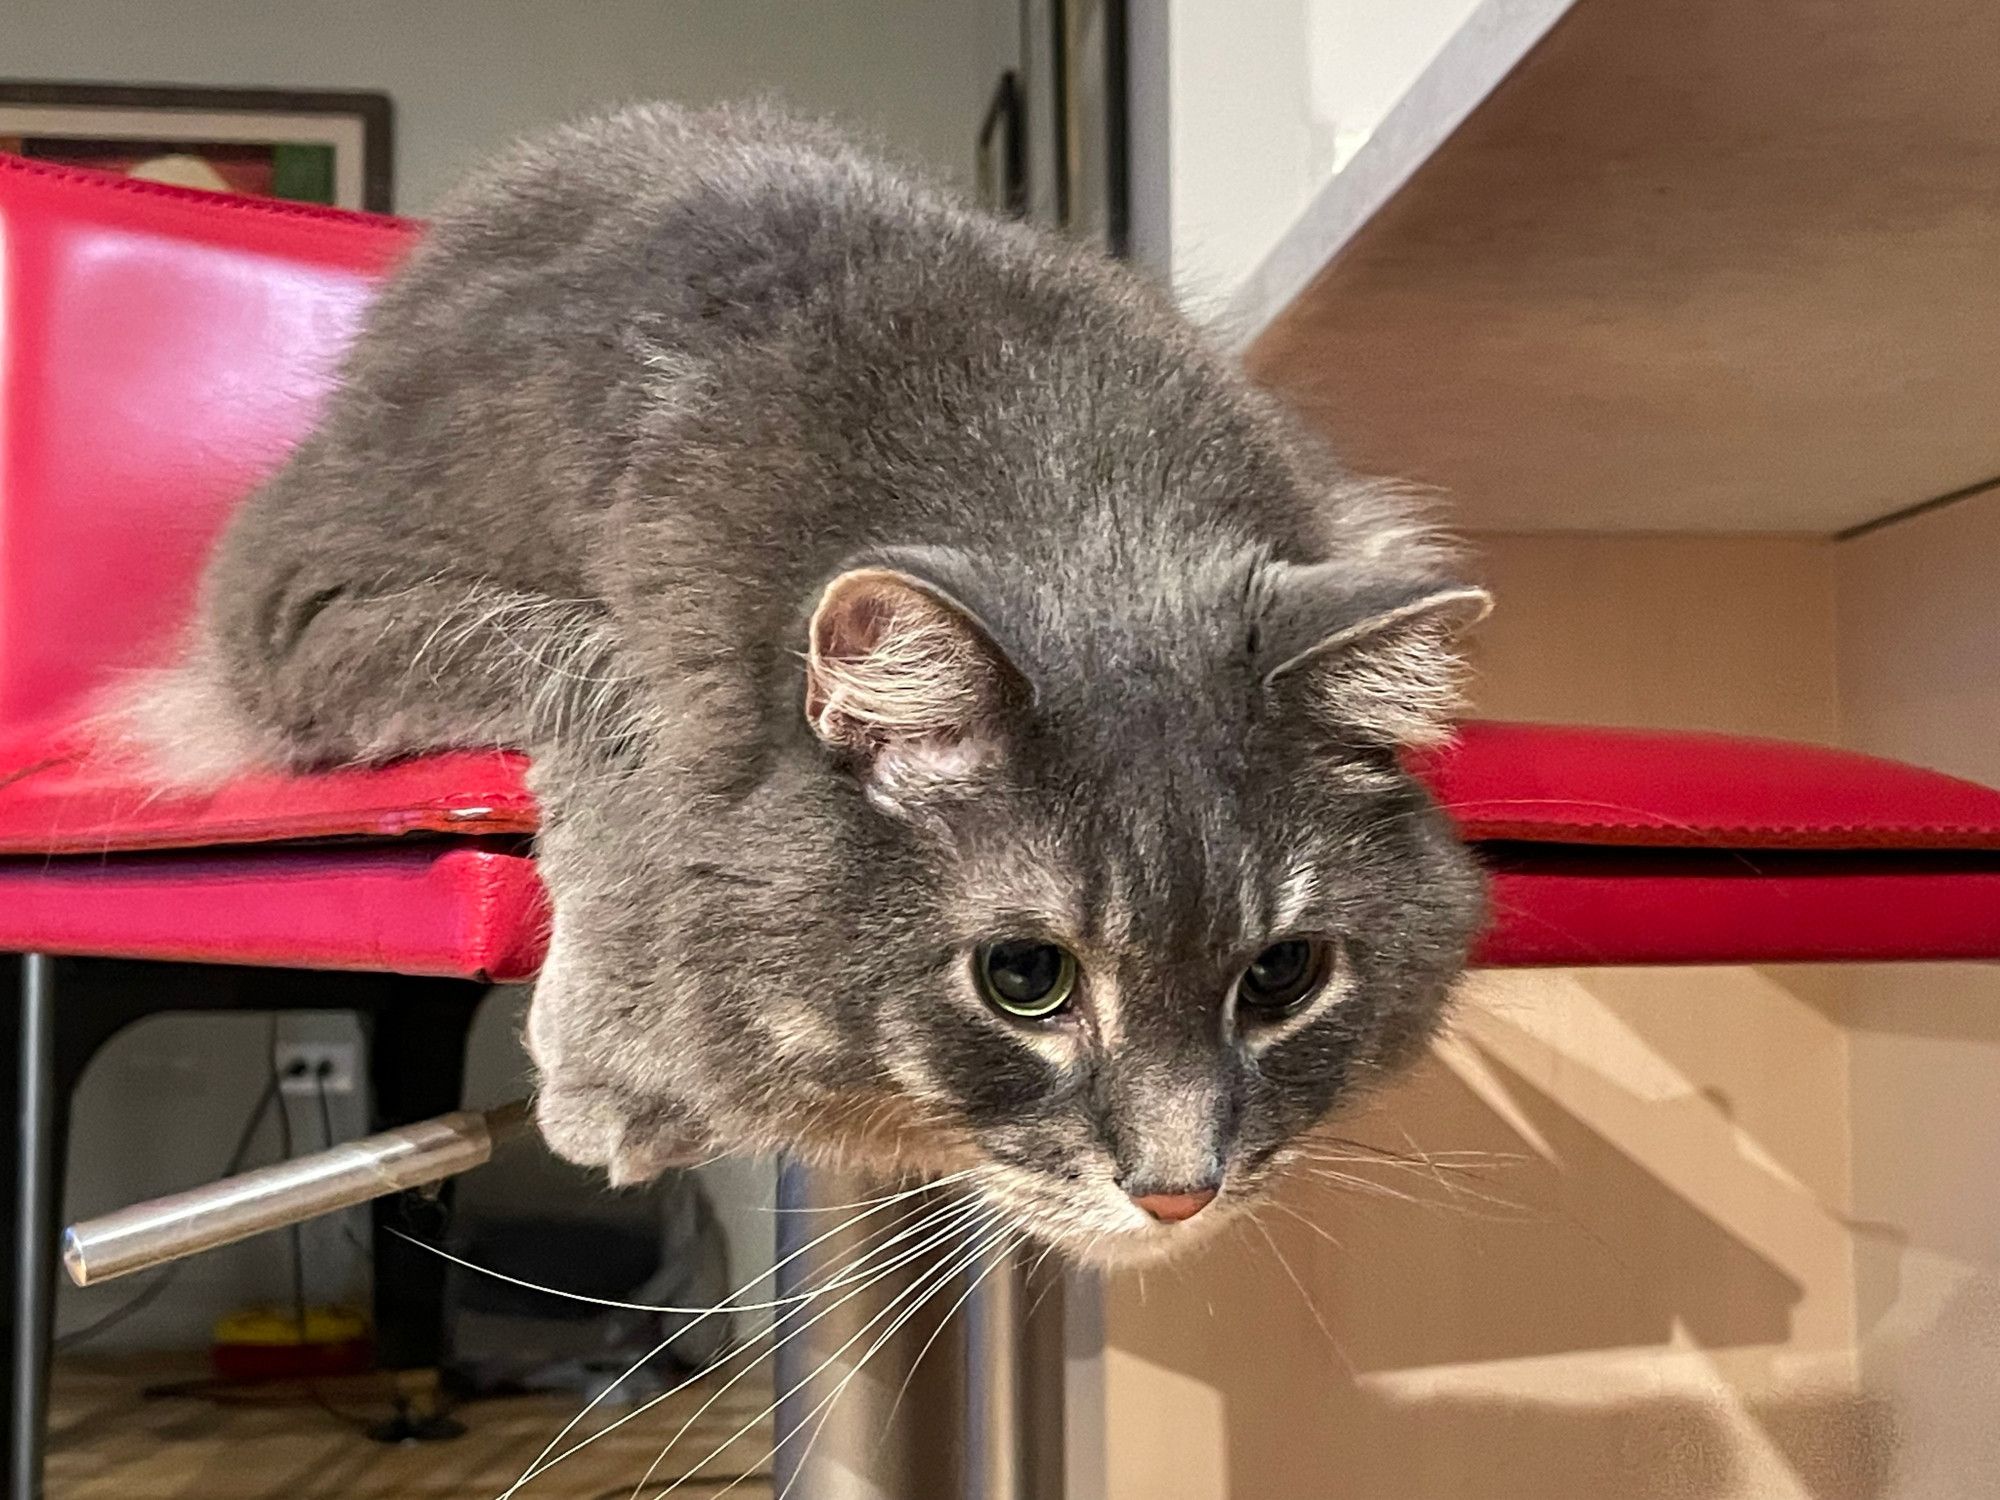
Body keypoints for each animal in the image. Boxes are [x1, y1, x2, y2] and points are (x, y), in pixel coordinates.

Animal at [121, 100, 1488, 1264]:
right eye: (1025, 980)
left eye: (1281, 975)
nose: (1175, 1192)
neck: (1069, 500)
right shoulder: (303, 603)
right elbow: (602, 674)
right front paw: (626, 1065)